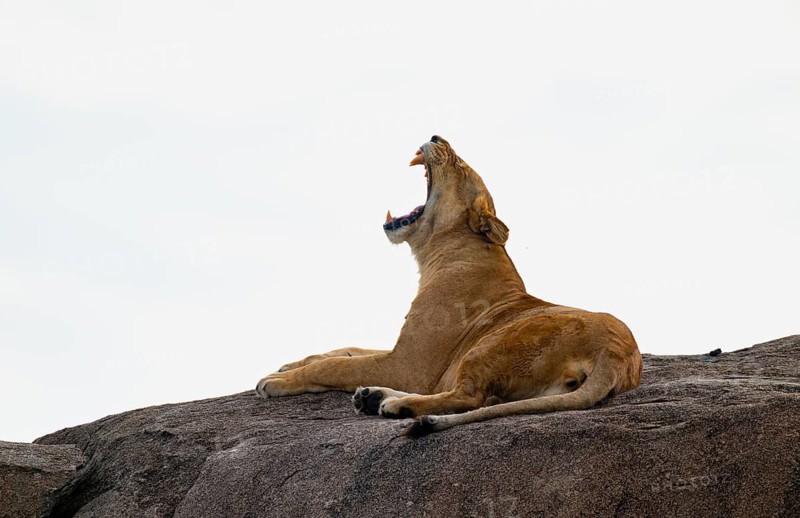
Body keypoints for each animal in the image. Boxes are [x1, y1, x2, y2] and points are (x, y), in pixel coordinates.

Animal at [257, 136, 642, 437]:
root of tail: (617, 353)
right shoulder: (405, 353)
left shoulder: (411, 365)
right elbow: (347, 350)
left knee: (470, 397)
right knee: (482, 398)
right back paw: (374, 397)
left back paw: (391, 404)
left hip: (491, 343)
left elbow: (335, 367)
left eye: (459, 165)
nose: (435, 136)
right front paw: (290, 364)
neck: (435, 254)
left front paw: (274, 382)